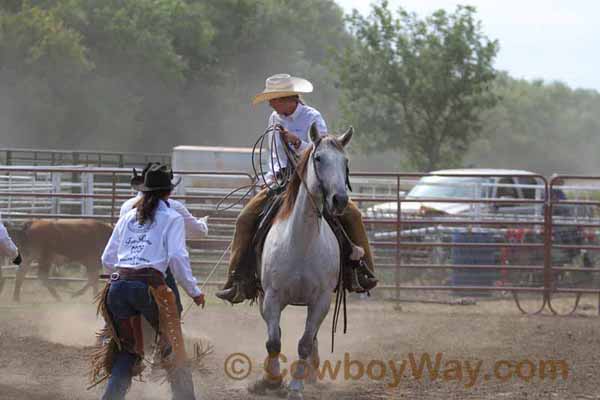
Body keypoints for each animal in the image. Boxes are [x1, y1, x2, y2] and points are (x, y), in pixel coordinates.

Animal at [251, 124, 354, 400]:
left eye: (345, 161)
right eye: (318, 158)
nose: (339, 200)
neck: (301, 243)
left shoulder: (321, 300)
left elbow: (305, 342)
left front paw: (296, 386)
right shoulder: (272, 297)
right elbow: (273, 341)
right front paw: (272, 380)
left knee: (313, 335)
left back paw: (312, 372)